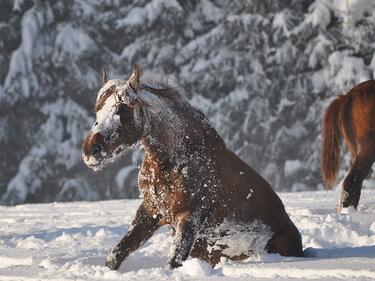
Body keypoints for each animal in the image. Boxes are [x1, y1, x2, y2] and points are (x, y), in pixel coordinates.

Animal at [83, 65, 306, 270]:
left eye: (122, 108)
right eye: (97, 109)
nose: (90, 150)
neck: (175, 162)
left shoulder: (189, 218)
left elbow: (174, 261)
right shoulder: (151, 212)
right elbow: (117, 253)